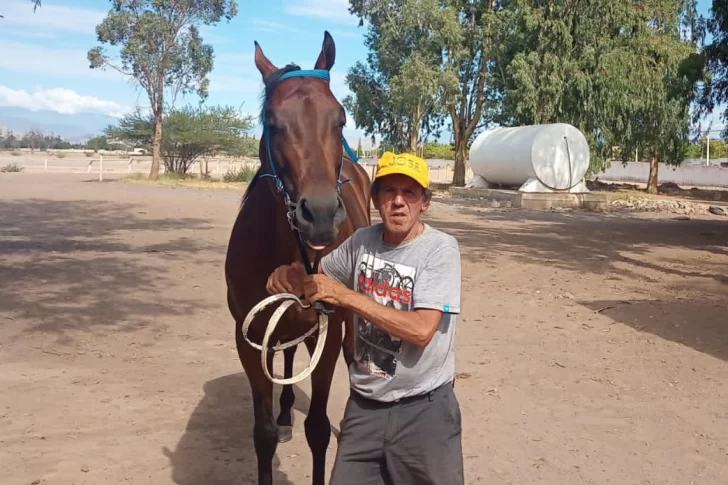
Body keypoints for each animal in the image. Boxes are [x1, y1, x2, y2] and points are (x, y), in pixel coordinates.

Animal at [224, 31, 372, 485]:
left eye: (340, 119)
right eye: (272, 123)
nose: (320, 214)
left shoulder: (330, 332)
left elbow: (319, 430)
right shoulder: (249, 337)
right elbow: (263, 434)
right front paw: (279, 421)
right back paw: (287, 409)